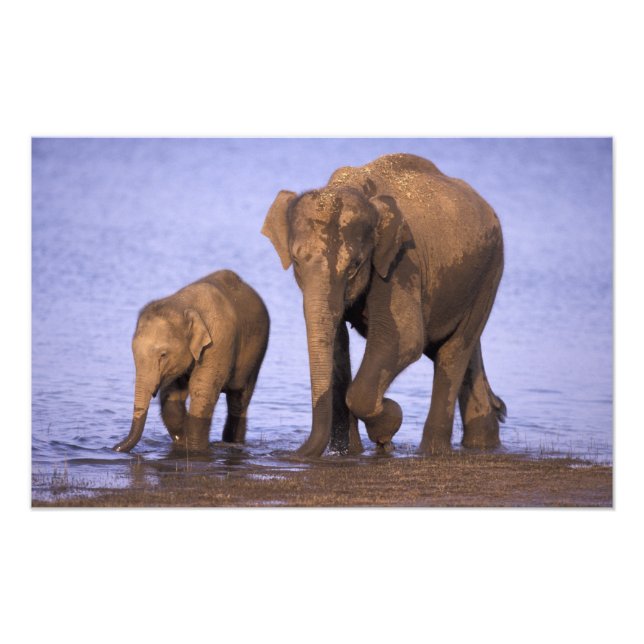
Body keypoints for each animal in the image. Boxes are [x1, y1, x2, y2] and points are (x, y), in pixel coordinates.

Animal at [113, 270, 269, 453]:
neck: (183, 304)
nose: (115, 447)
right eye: (133, 352)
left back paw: (234, 442)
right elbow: (173, 394)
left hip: (257, 354)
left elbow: (202, 390)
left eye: (163, 355)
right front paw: (182, 441)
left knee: (239, 401)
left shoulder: (218, 342)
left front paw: (195, 449)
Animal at [262, 153, 506, 458]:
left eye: (355, 266)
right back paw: (483, 443)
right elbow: (338, 346)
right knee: (464, 349)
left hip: (491, 271)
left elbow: (405, 338)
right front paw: (349, 452)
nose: (287, 455)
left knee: (454, 350)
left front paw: (387, 425)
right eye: (295, 261)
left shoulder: (401, 260)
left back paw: (432, 451)